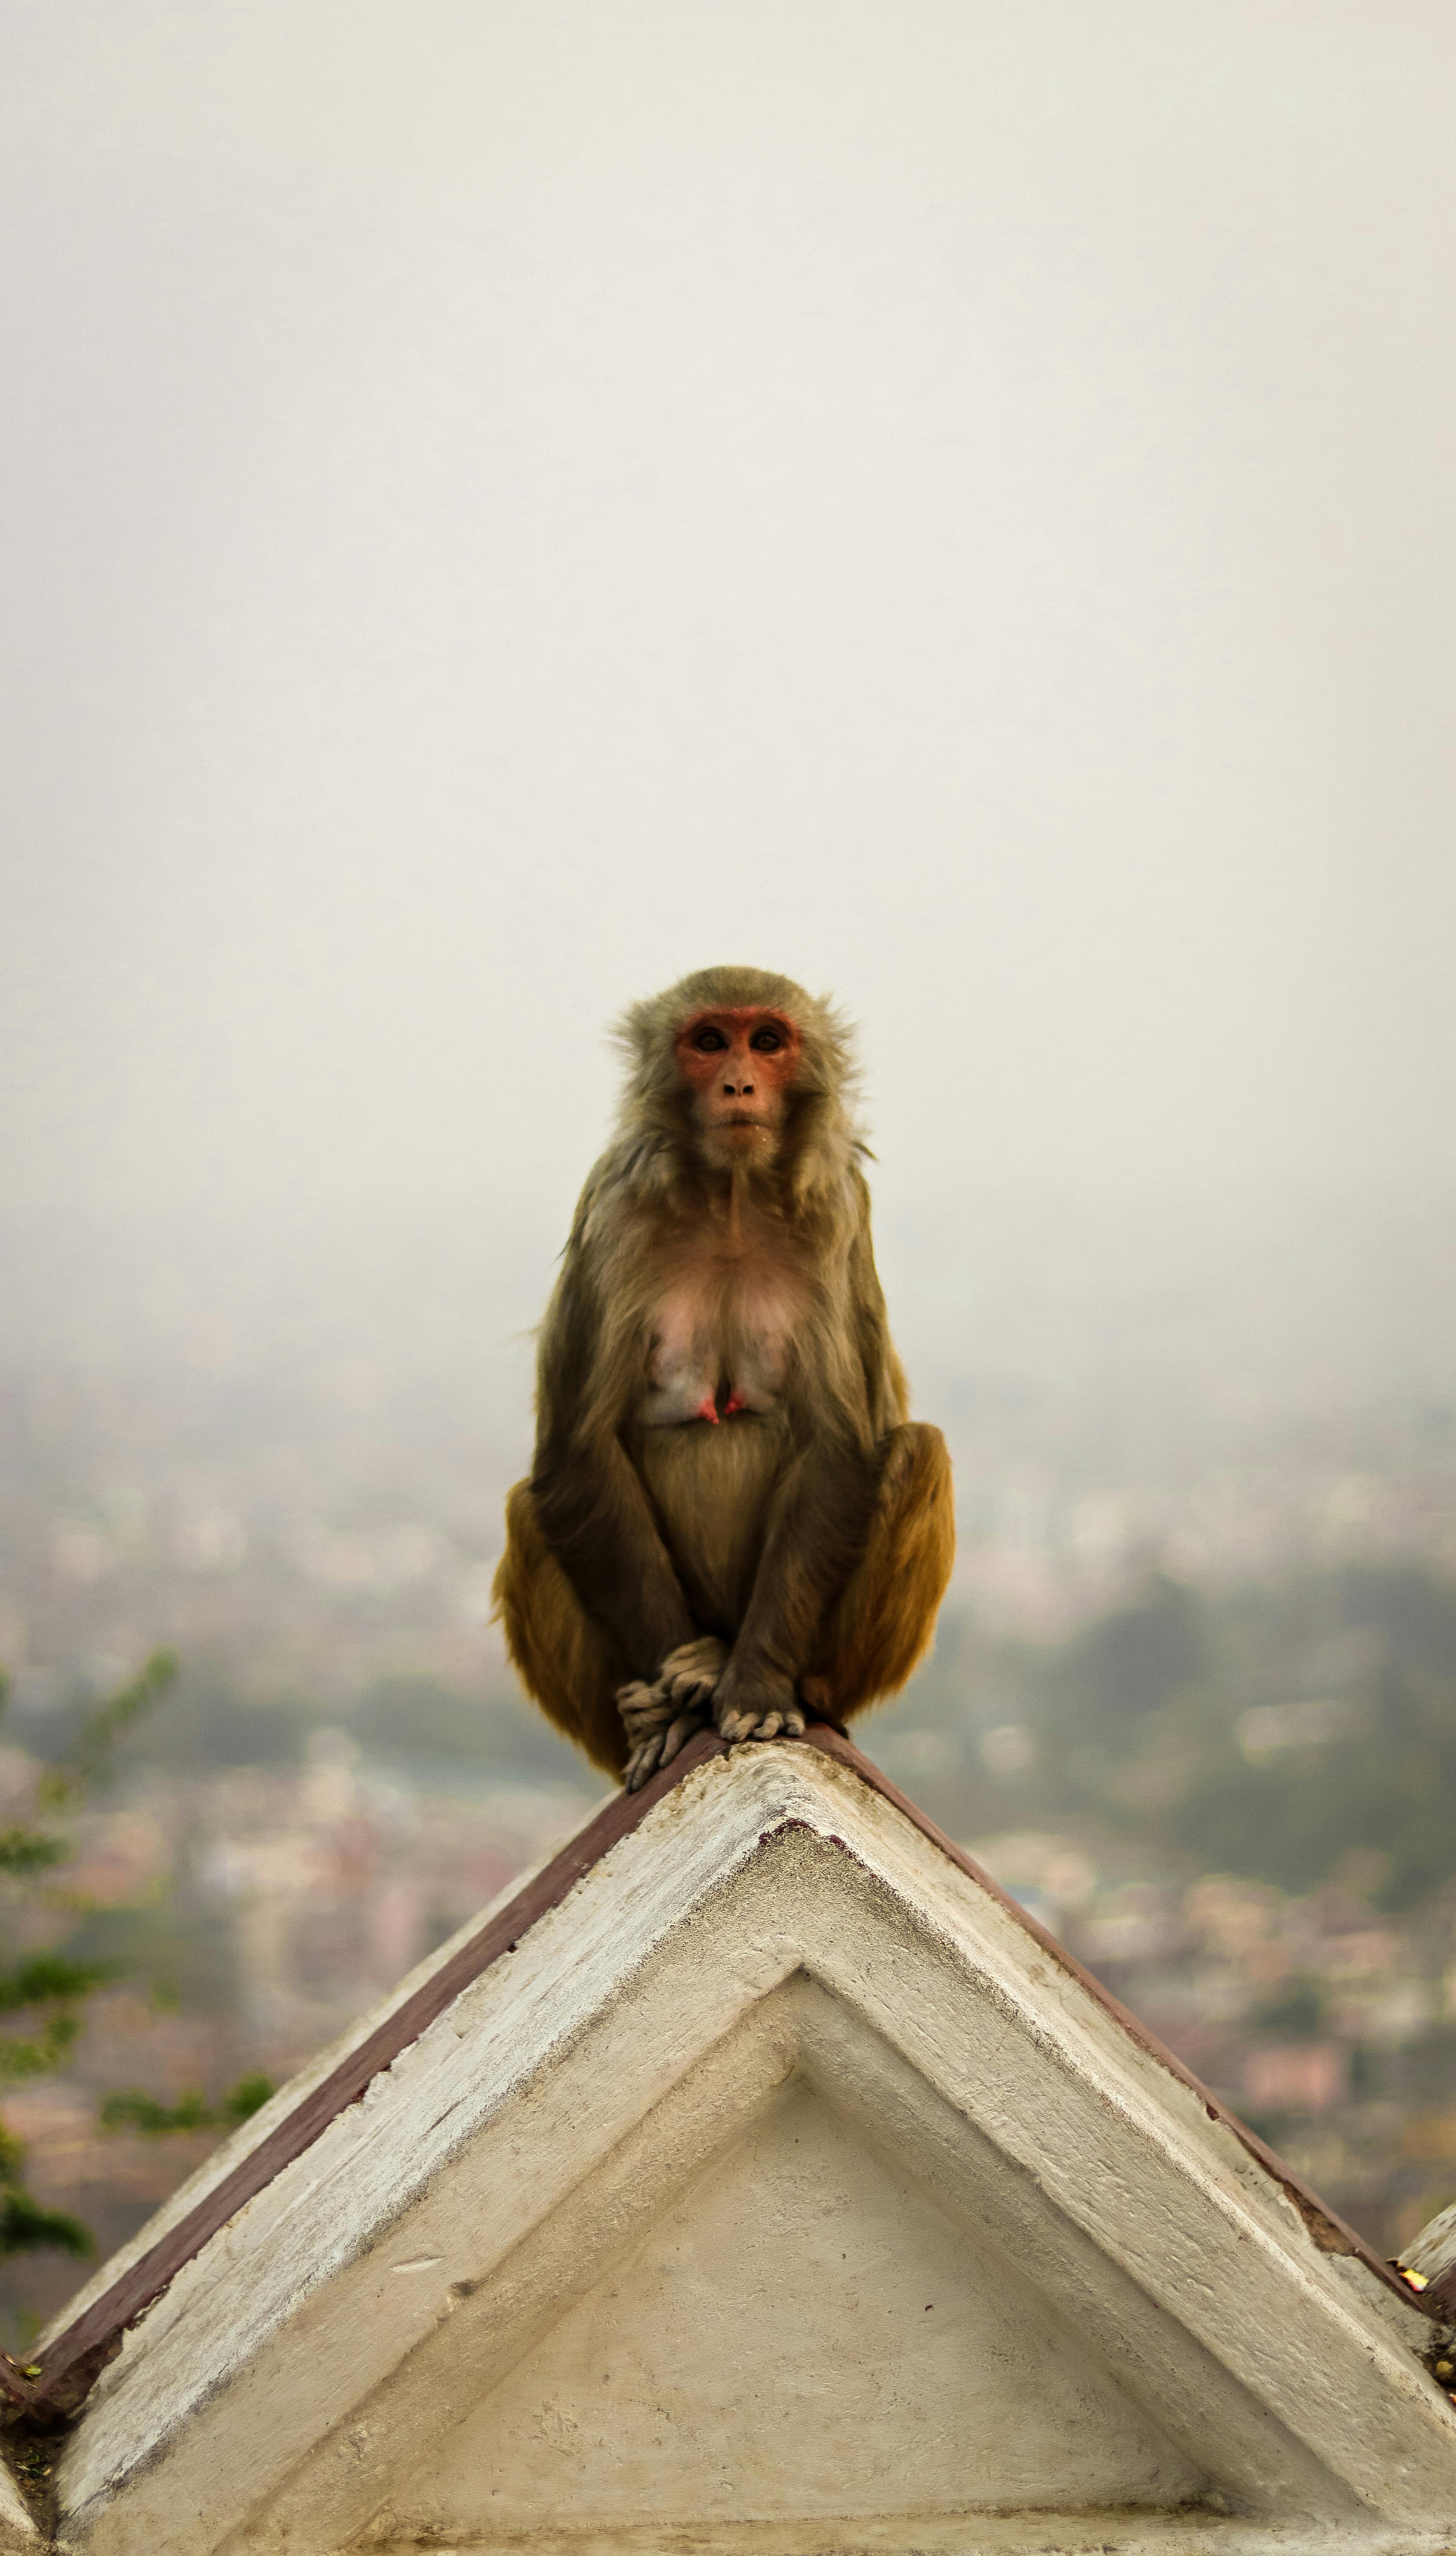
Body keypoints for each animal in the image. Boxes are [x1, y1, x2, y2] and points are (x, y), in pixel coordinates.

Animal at [493, 966, 955, 1789]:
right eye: (709, 1041)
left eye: (767, 1041)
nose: (739, 1083)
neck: (733, 1198)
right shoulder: (613, 1208)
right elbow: (578, 1452)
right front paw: (684, 1693)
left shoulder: (838, 1211)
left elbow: (840, 1446)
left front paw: (755, 1686)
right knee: (528, 1507)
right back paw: (654, 1706)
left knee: (919, 1449)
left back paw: (793, 1683)